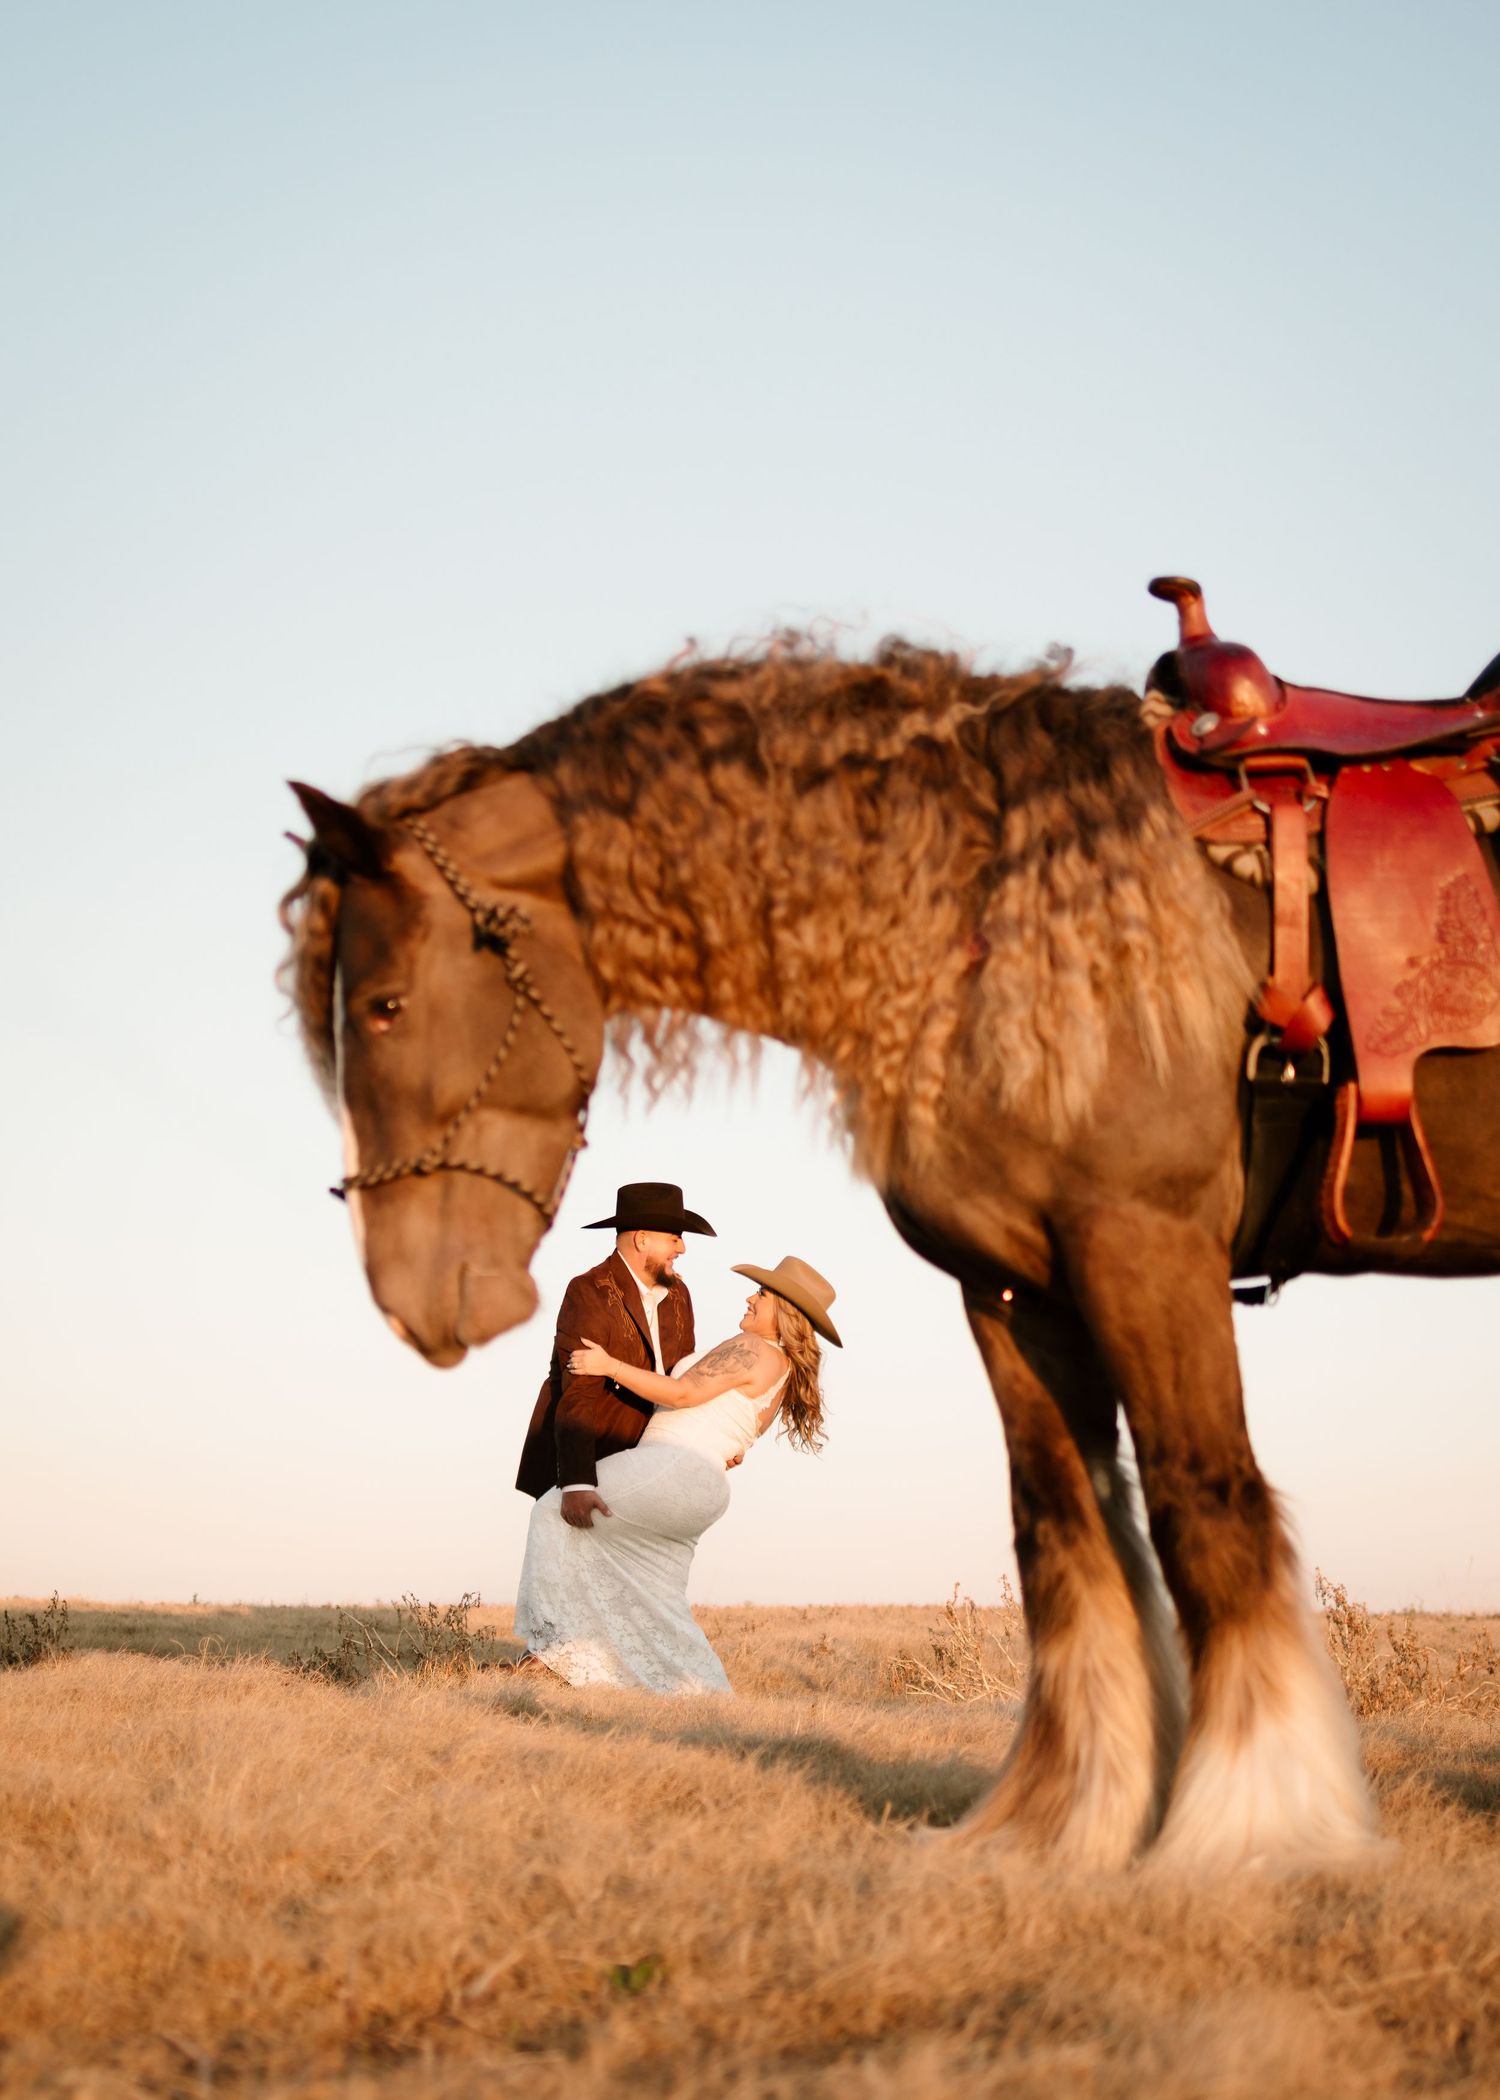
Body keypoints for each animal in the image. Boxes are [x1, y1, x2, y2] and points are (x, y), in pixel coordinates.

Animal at [279, 632, 1500, 1873]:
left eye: (383, 1007)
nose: (414, 1302)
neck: (1004, 922)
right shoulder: (1016, 1288)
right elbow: (1067, 1542)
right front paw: (1061, 1822)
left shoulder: (1146, 1250)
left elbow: (1205, 1505)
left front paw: (1251, 1828)